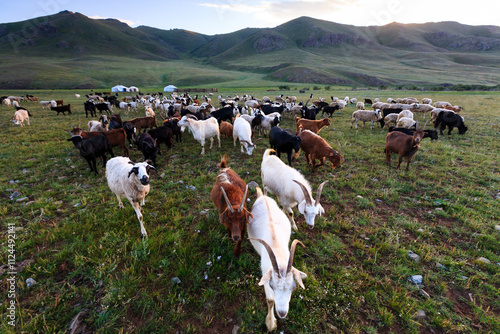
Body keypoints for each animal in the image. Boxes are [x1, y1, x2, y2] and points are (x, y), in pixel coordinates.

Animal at [248, 185, 306, 332]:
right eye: (271, 286)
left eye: (293, 287)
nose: (282, 313)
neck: (277, 252)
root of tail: (262, 196)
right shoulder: (265, 274)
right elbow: (270, 300)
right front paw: (270, 323)